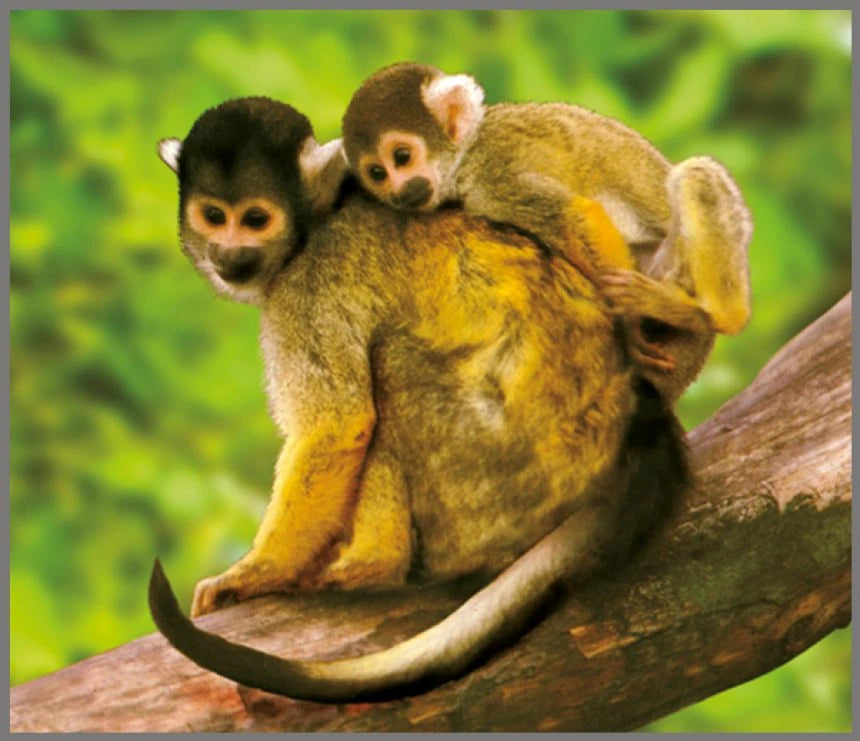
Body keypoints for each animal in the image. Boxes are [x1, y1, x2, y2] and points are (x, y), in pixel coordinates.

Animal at [149, 96, 690, 702]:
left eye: (256, 219)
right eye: (213, 216)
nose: (228, 253)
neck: (317, 220)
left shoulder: (305, 291)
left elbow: (338, 425)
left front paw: (259, 573)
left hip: (509, 469)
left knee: (392, 366)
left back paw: (372, 566)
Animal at [341, 62, 753, 404]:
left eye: (402, 157)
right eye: (377, 173)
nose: (399, 191)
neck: (465, 155)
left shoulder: (495, 175)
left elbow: (576, 215)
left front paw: (629, 328)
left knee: (696, 176)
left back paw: (718, 314)